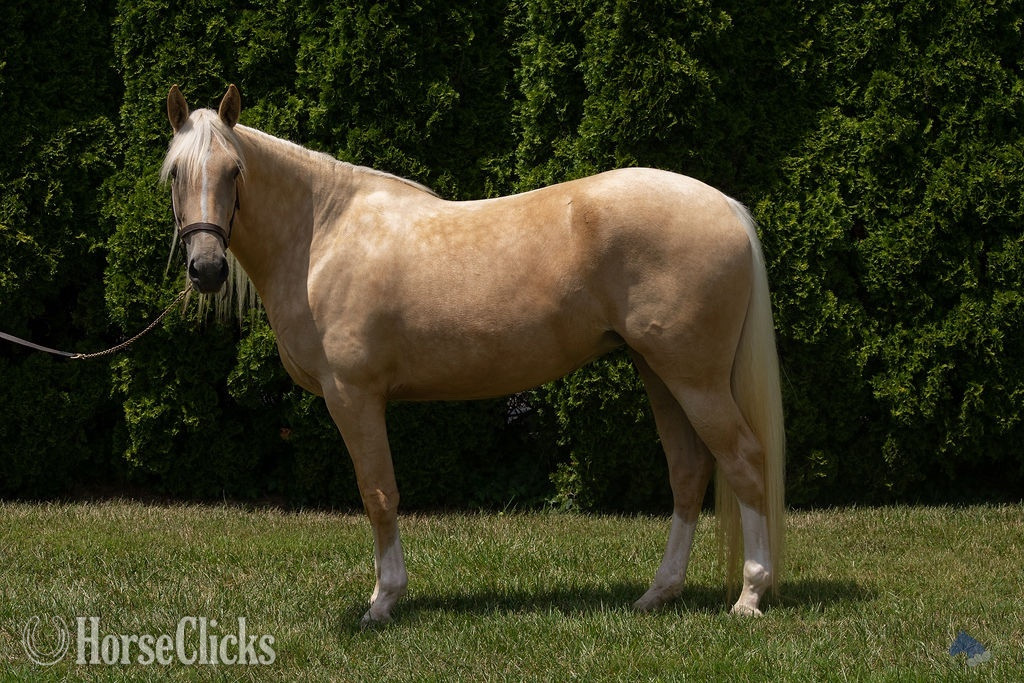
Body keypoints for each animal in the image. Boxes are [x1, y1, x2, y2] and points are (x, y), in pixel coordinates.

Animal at [161, 84, 785, 626]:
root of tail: (726, 206)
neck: (322, 235)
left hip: (696, 379)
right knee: (689, 471)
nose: (207, 269)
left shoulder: (354, 396)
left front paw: (383, 602)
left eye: (235, 171)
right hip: (659, 373)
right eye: (173, 174)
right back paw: (659, 592)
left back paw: (750, 595)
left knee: (744, 461)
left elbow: (379, 494)